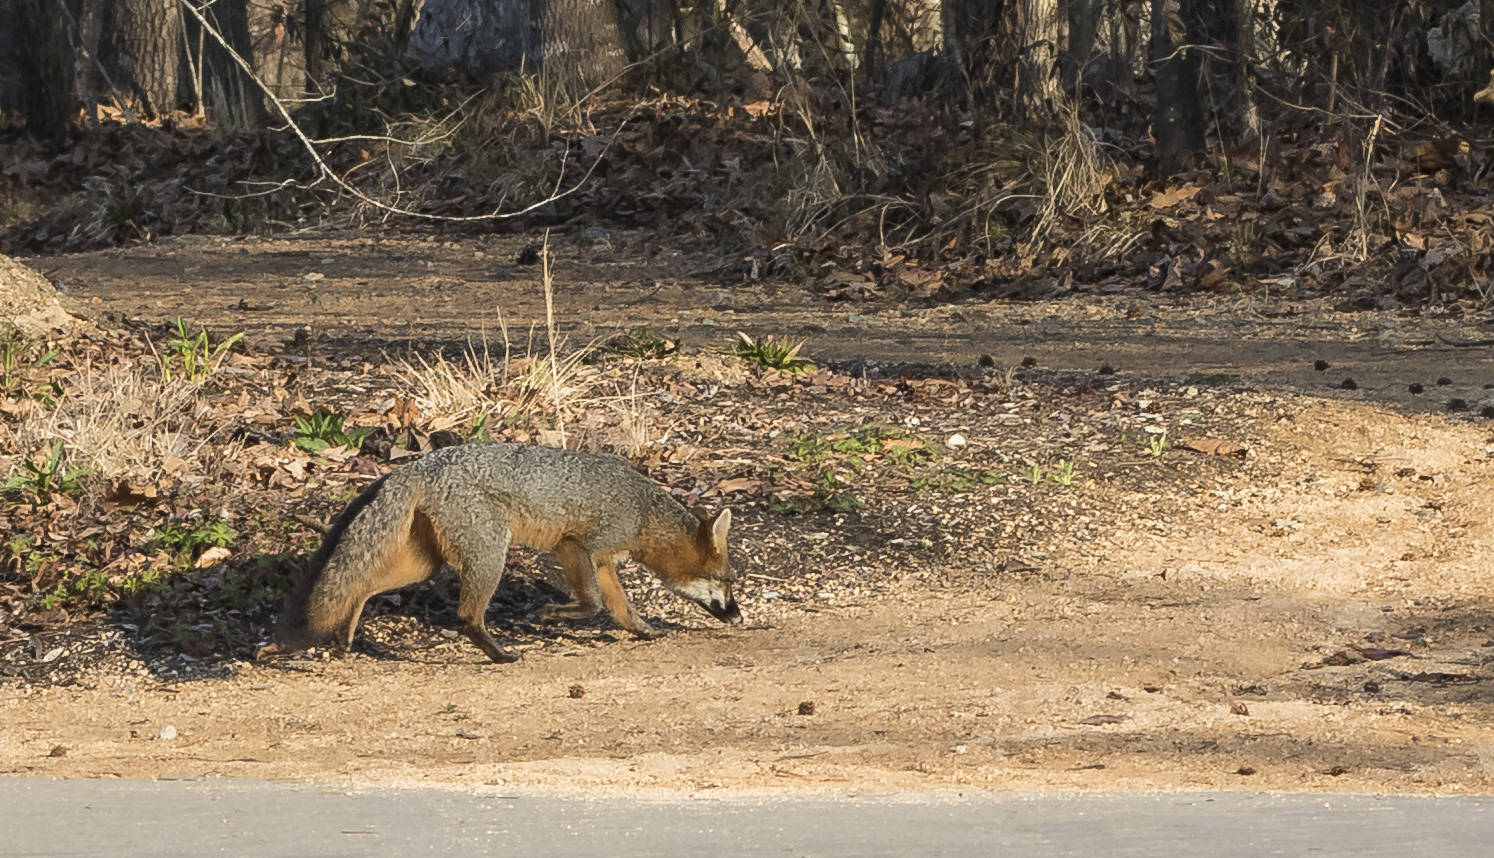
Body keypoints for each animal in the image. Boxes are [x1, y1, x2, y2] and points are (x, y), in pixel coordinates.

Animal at [257, 443, 740, 664]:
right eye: (728, 583)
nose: (738, 617)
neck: (644, 512)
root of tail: (418, 464)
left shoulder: (601, 560)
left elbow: (619, 609)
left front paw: (644, 630)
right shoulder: (576, 546)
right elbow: (593, 604)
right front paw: (551, 615)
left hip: (424, 564)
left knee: (360, 586)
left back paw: (344, 637)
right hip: (490, 554)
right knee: (466, 617)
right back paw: (501, 655)